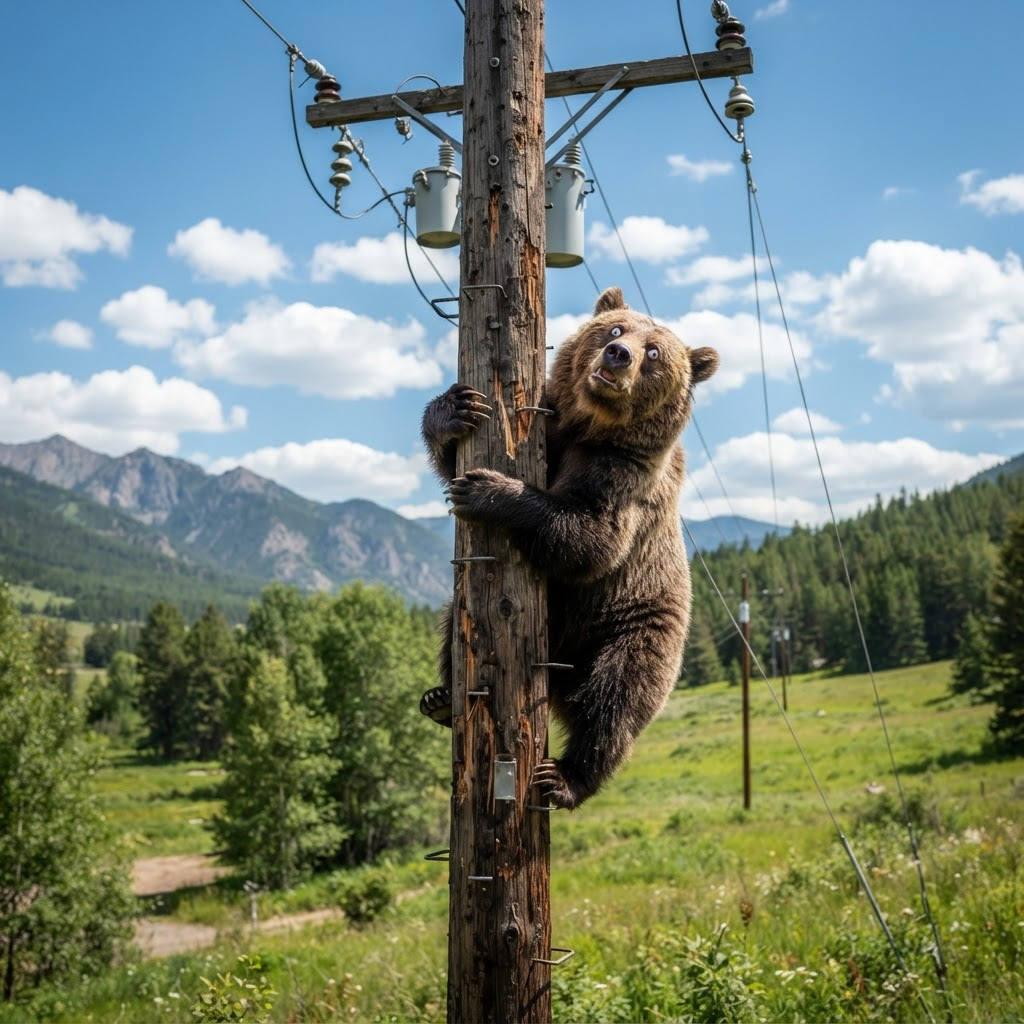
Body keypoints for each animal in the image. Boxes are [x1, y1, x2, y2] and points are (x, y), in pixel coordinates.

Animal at [419, 287, 719, 809]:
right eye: (616, 328)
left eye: (654, 353)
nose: (618, 355)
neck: (586, 427)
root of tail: (554, 680)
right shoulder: (553, 431)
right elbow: (451, 453)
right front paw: (456, 409)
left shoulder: (623, 475)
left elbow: (589, 539)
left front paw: (487, 489)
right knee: (454, 620)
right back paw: (440, 699)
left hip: (635, 626)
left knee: (615, 702)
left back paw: (565, 777)